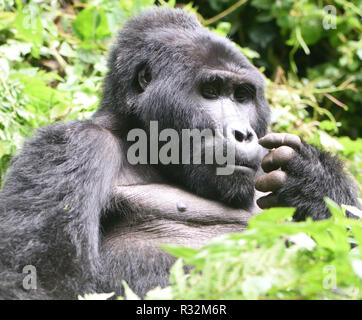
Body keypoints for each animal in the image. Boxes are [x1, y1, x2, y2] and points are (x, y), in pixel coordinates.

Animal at [0, 6, 360, 298]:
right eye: (211, 91)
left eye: (242, 96)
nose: (243, 134)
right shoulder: (74, 146)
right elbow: (37, 276)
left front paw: (312, 181)